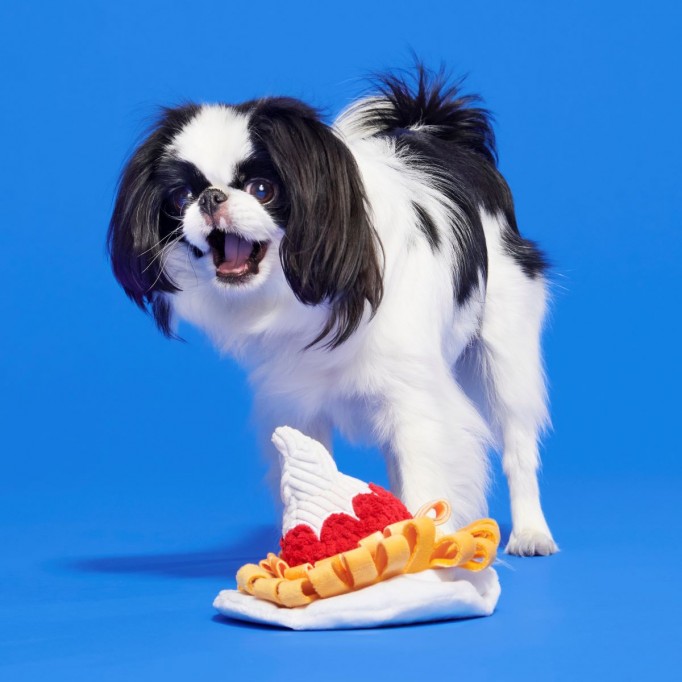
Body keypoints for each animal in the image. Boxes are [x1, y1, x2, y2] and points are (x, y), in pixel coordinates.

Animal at [106, 65, 552, 552]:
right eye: (182, 198)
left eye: (262, 189)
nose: (211, 198)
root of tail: (432, 128)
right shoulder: (296, 404)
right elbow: (305, 475)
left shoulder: (418, 405)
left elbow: (428, 481)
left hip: (505, 355)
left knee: (517, 447)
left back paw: (531, 532)